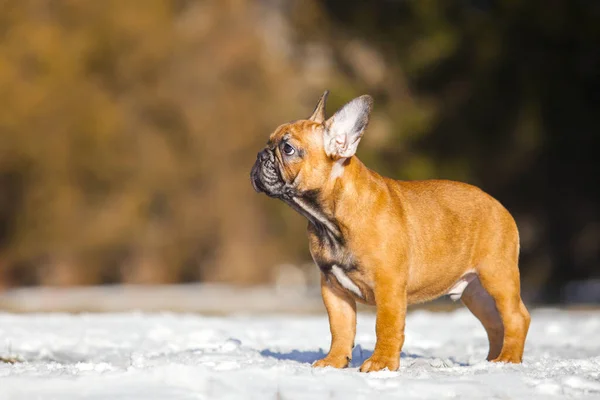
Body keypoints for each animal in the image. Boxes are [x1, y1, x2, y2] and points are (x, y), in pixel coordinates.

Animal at [250, 90, 528, 372]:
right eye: (268, 142)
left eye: (287, 148)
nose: (260, 155)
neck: (329, 220)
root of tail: (497, 204)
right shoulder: (333, 289)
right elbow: (340, 328)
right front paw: (334, 361)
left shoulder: (388, 285)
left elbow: (386, 326)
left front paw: (381, 364)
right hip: (476, 292)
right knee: (494, 323)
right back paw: (491, 362)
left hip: (497, 276)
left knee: (516, 317)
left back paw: (507, 359)